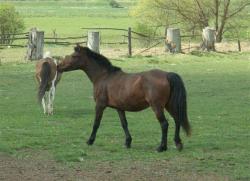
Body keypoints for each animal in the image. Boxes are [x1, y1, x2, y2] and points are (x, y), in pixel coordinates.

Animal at [57, 45, 190, 151]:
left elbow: (96, 123)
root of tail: (167, 74)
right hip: (168, 105)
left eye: (74, 56)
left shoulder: (100, 105)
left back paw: (162, 147)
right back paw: (178, 143)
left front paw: (90, 141)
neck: (104, 77)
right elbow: (124, 124)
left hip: (157, 107)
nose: (59, 66)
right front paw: (127, 142)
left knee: (164, 124)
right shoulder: (119, 108)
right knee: (177, 120)